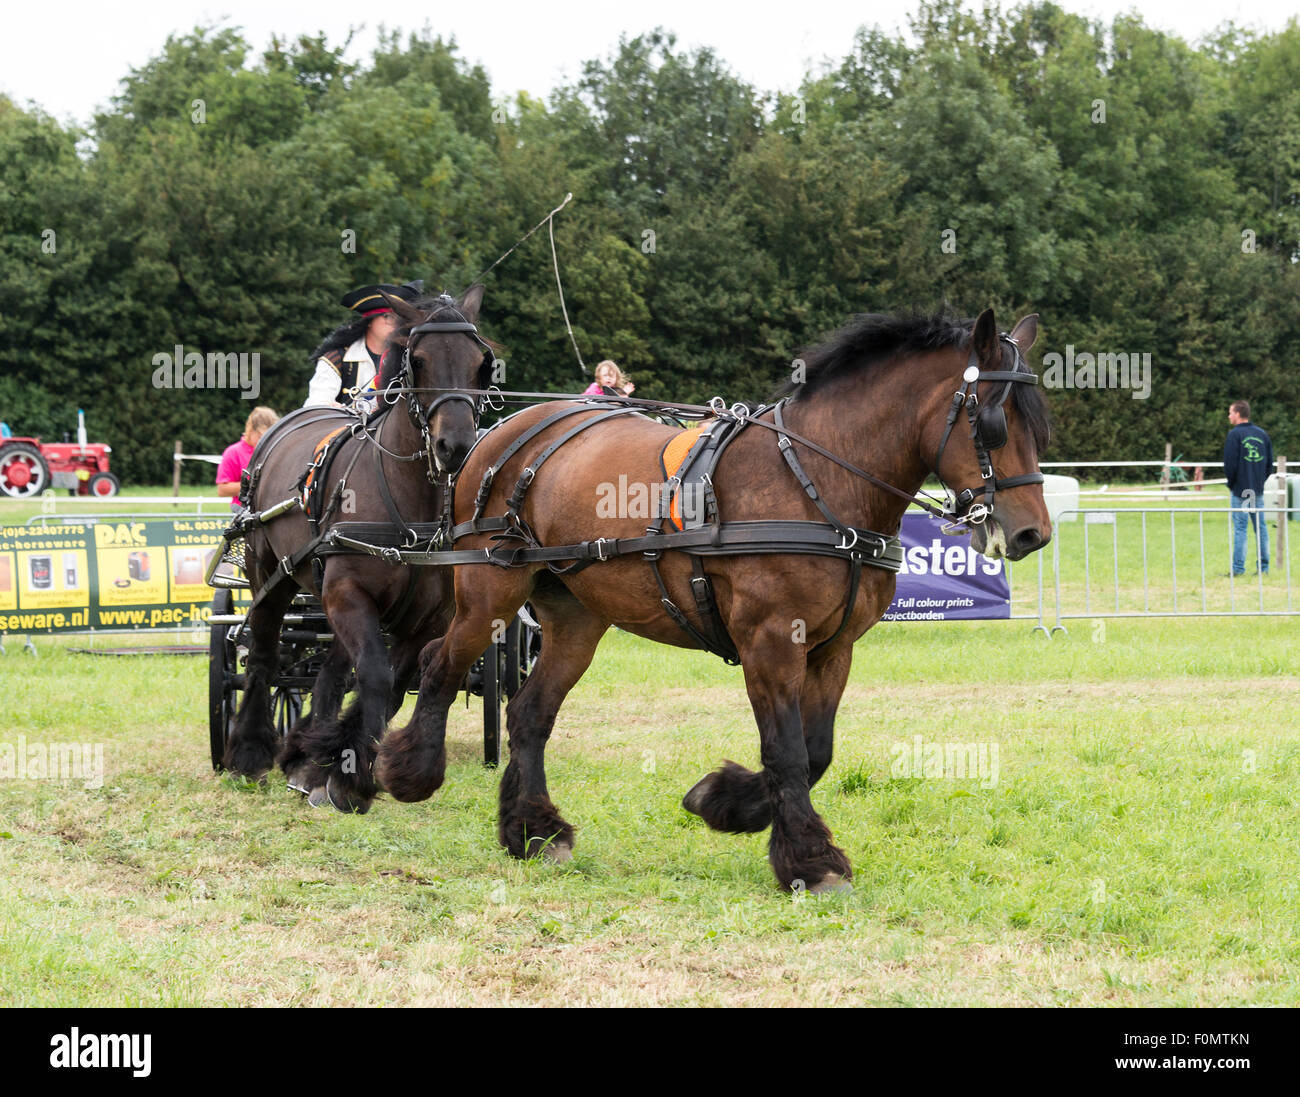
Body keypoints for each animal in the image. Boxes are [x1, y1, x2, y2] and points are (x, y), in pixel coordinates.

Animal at [221, 286, 494, 813]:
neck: (408, 505)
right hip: (273, 573)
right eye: (419, 361)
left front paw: (337, 768)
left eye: (480, 364)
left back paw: (303, 756)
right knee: (264, 654)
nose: (454, 446)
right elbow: (373, 676)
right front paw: (346, 776)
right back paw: (250, 751)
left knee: (330, 669)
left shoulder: (427, 619)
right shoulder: (348, 592)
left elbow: (391, 686)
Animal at [376, 307, 1052, 890]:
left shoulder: (834, 649)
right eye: (994, 421)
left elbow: (816, 751)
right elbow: (786, 751)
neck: (816, 480)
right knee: (439, 664)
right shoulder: (770, 641)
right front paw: (809, 860)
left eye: (1037, 422)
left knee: (529, 714)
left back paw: (534, 831)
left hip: (575, 619)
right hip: (489, 591)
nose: (1031, 534)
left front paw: (727, 802)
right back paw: (407, 771)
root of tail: (501, 436)